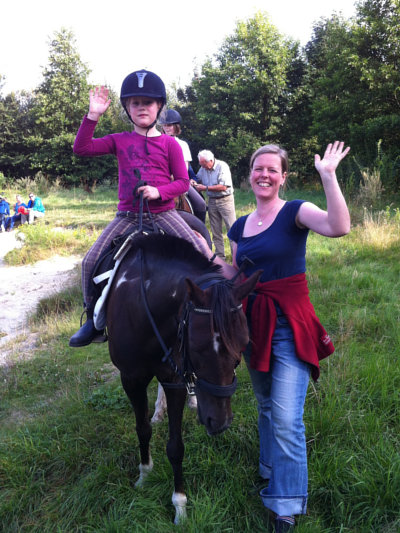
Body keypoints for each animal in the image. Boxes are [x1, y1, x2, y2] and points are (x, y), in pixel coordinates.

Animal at [106, 234, 260, 524]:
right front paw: (144, 474)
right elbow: (142, 428)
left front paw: (179, 504)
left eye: (244, 345)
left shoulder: (173, 378)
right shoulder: (131, 379)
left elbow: (176, 446)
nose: (220, 423)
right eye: (197, 348)